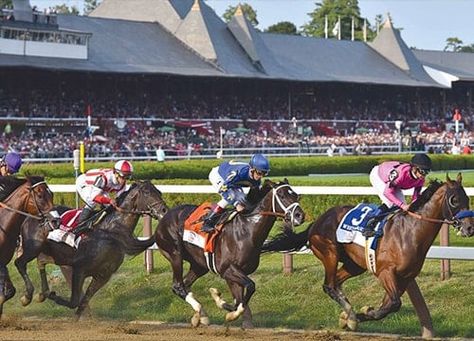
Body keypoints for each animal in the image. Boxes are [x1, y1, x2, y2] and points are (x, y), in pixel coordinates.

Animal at [0, 175, 55, 316]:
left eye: (51, 194)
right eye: (40, 195)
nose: (56, 220)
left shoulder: (3, 262)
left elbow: (10, 291)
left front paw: (26, 297)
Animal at [15, 179, 168, 318]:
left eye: (159, 192)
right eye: (147, 192)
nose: (164, 210)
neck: (110, 232)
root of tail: (33, 215)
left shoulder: (103, 275)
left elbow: (82, 303)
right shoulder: (80, 269)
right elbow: (74, 301)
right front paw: (52, 296)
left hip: (56, 255)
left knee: (41, 260)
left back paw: (41, 294)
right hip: (33, 248)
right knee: (20, 263)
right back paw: (27, 297)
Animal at [154, 179, 306, 328]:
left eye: (296, 195)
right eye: (281, 195)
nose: (300, 216)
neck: (246, 231)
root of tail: (166, 215)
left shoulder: (236, 274)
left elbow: (239, 301)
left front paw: (225, 306)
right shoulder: (227, 269)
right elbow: (249, 287)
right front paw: (223, 305)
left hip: (199, 265)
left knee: (185, 284)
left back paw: (200, 315)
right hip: (174, 254)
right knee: (177, 286)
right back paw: (199, 310)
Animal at [262, 175, 474, 338]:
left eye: (467, 198)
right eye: (454, 200)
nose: (470, 228)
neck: (410, 232)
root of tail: (316, 222)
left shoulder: (405, 278)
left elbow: (388, 305)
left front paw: (354, 316)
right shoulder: (385, 272)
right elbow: (393, 304)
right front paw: (358, 316)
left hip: (355, 265)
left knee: (337, 283)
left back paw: (348, 313)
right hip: (329, 253)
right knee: (329, 285)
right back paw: (351, 316)